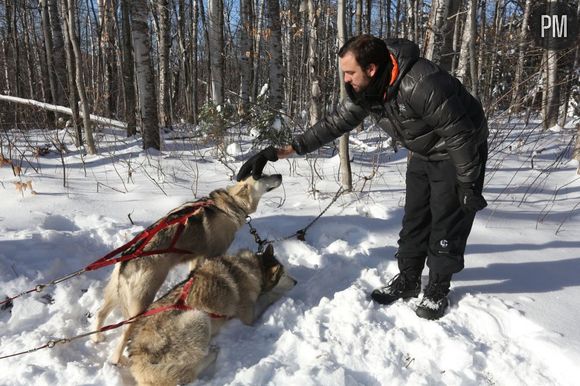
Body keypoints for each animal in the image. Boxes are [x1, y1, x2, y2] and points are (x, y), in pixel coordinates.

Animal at [93, 176, 284, 364]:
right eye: (262, 176)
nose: (280, 176)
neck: (229, 204)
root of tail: (126, 259)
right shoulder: (213, 253)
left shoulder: (196, 259)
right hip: (141, 301)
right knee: (123, 336)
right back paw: (117, 361)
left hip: (115, 294)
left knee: (100, 313)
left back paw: (97, 338)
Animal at [127, 246, 300, 384]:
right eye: (283, 274)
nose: (296, 282)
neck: (252, 267)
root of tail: (137, 358)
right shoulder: (248, 317)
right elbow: (266, 299)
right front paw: (277, 295)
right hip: (199, 318)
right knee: (188, 373)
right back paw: (213, 354)